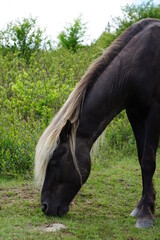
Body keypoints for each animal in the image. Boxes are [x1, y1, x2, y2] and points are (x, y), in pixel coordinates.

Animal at [35, 18, 160, 229]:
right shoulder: (135, 115)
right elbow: (141, 157)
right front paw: (144, 205)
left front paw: (145, 215)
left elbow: (148, 161)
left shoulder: (153, 113)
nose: (45, 206)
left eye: (54, 161)